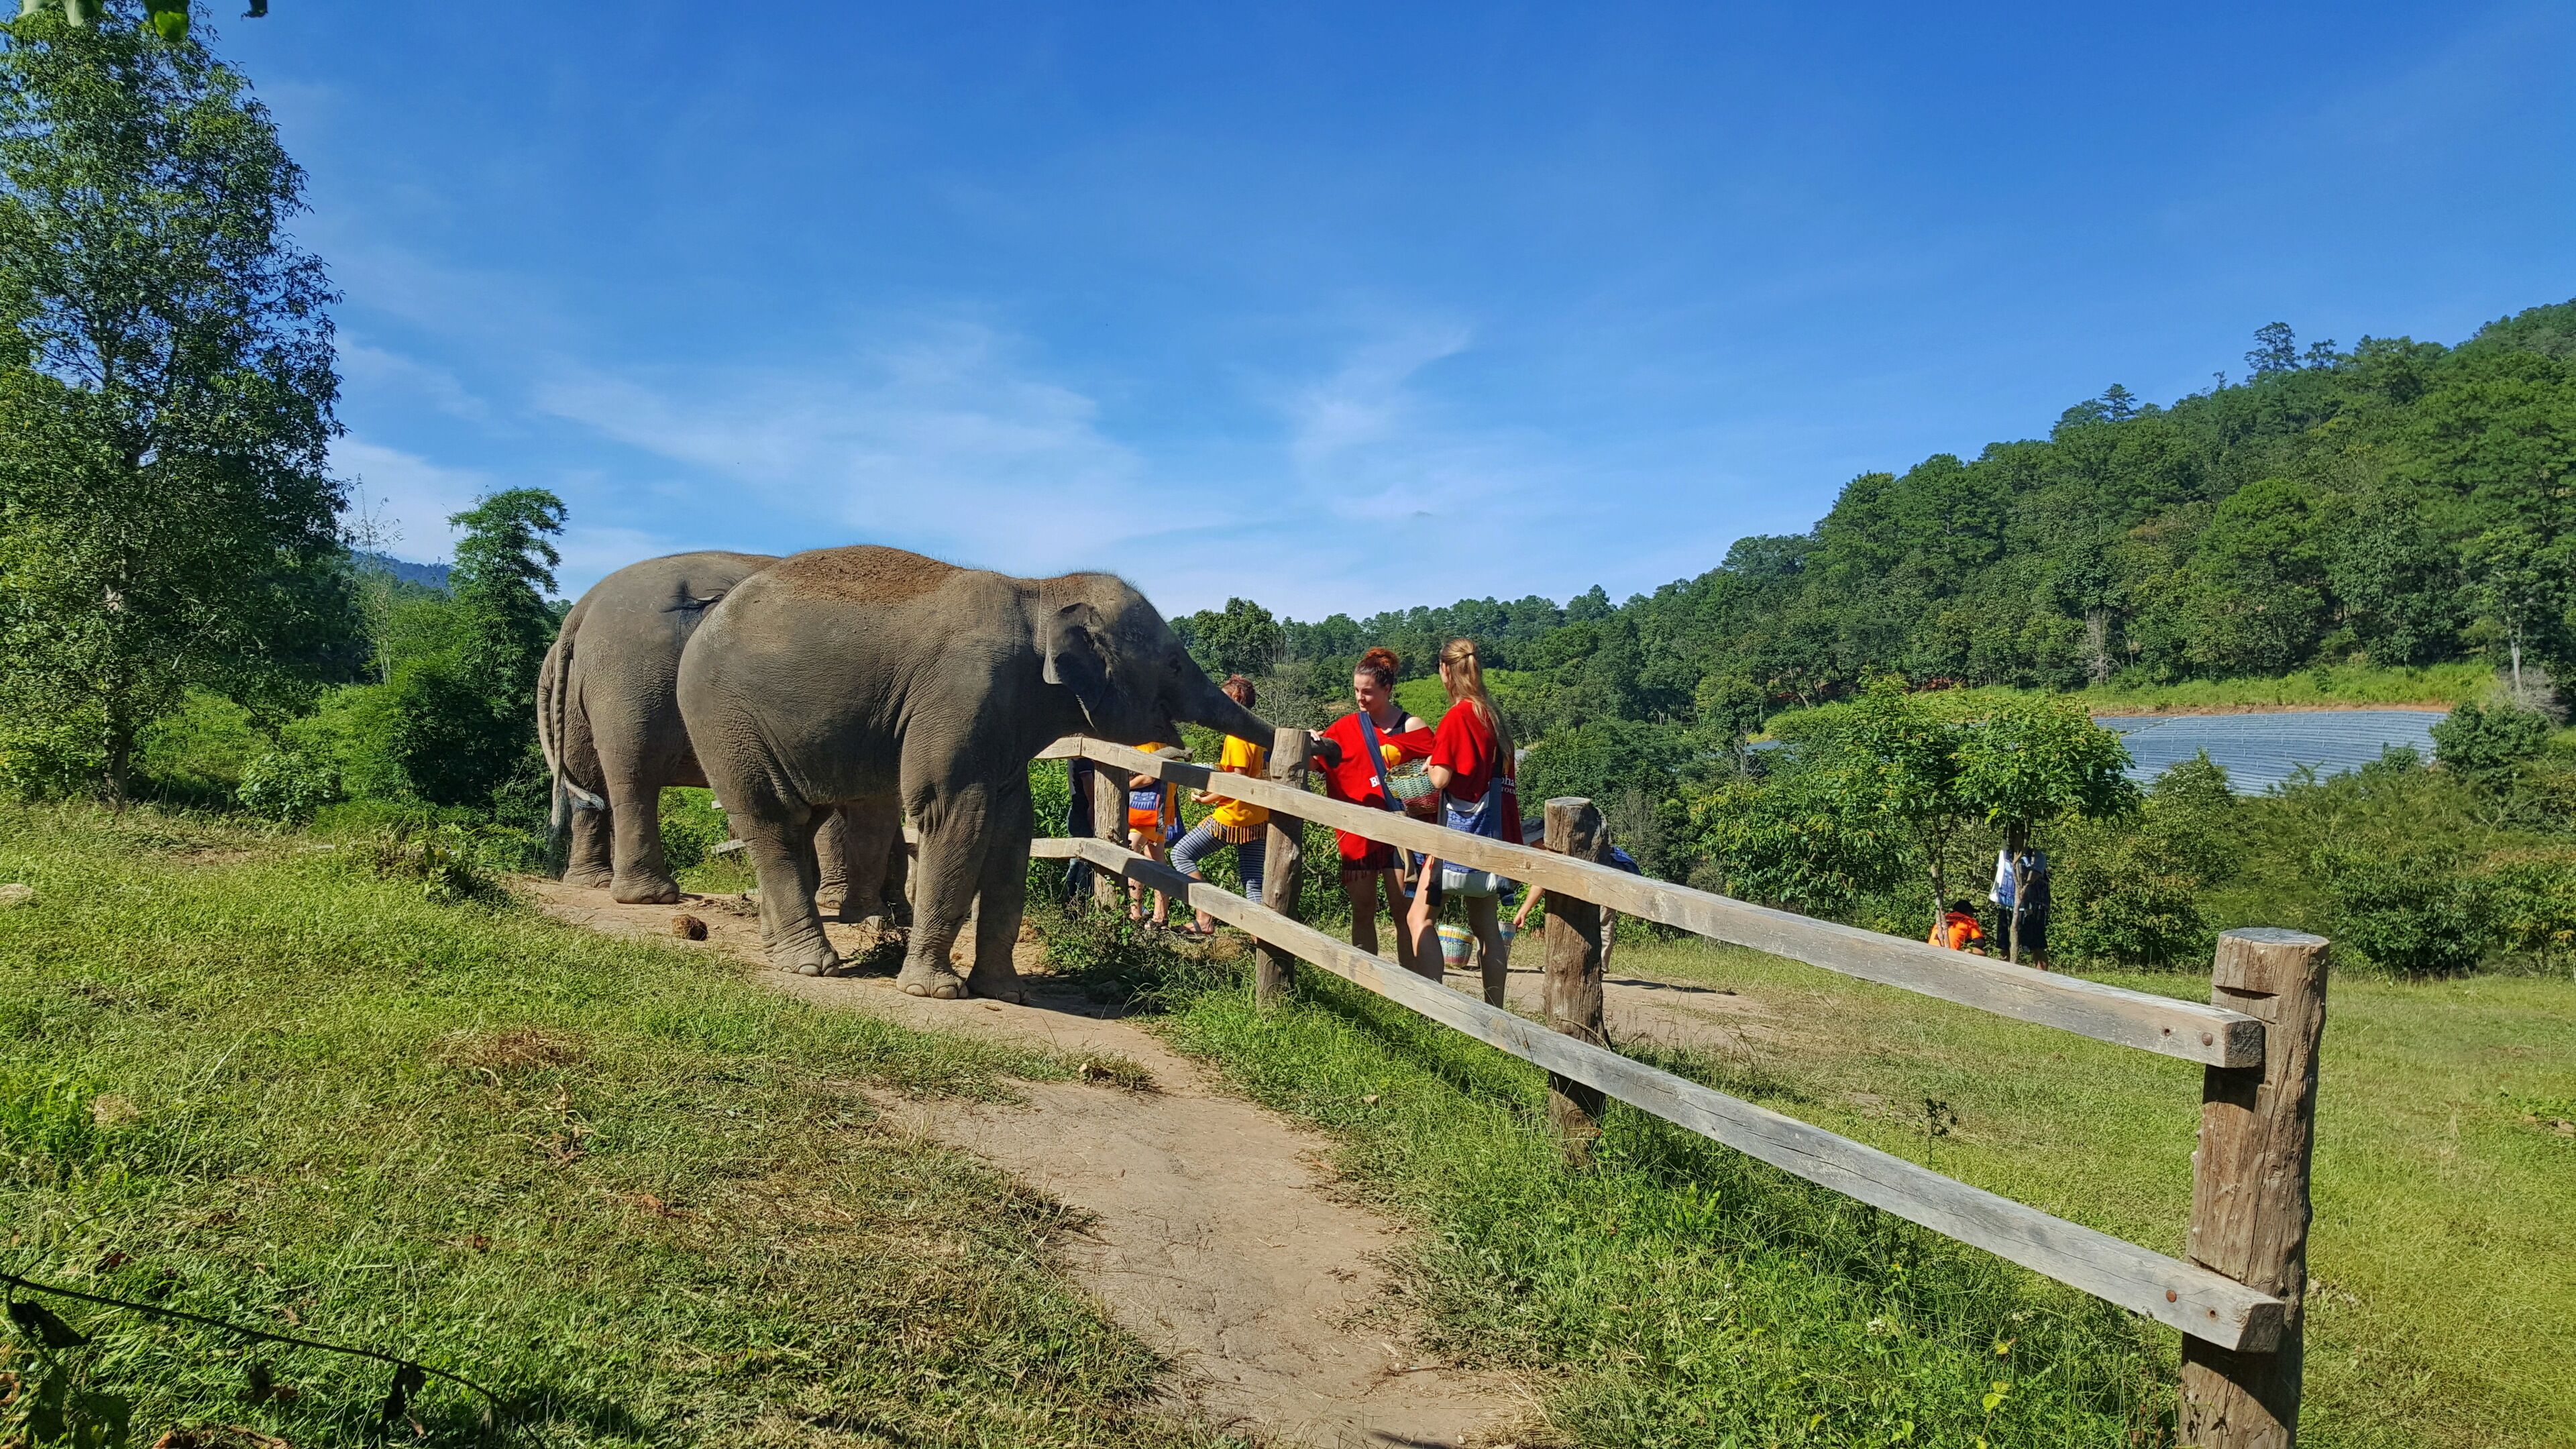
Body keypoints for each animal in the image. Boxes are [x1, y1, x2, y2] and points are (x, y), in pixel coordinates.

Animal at [540, 550, 907, 915]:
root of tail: (583, 608)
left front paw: (892, 911)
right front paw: (839, 901)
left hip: (579, 692)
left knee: (589, 777)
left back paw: (592, 882)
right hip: (629, 678)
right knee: (634, 771)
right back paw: (649, 896)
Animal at [676, 544, 1273, 999]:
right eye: (1172, 664)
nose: (1302, 744)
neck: (1040, 592)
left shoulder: (1004, 723)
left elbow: (1013, 828)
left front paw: (1006, 991)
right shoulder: (962, 695)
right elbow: (956, 814)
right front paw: (935, 992)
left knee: (796, 822)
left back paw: (779, 954)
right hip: (725, 722)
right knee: (770, 819)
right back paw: (810, 965)